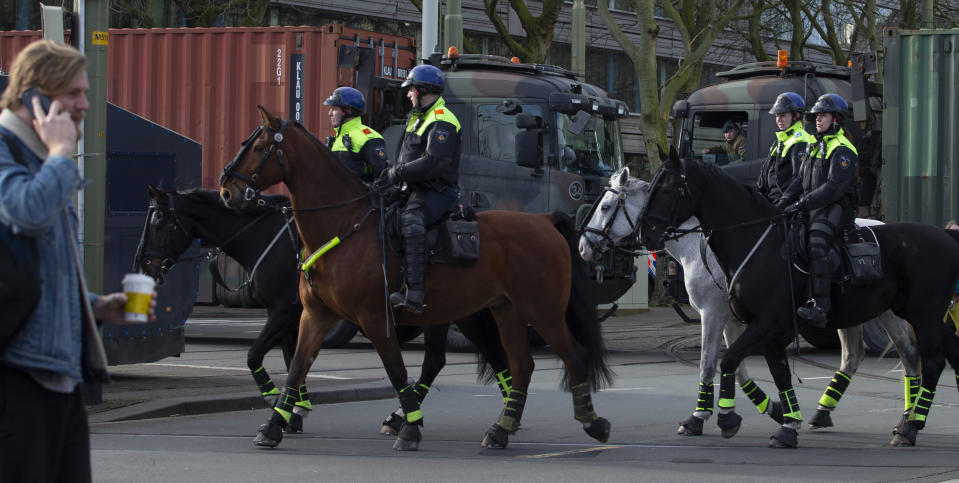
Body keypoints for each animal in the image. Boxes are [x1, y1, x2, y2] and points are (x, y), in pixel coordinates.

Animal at [135, 186, 516, 438]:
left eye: (158, 221)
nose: (143, 265)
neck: (267, 238)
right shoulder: (296, 317)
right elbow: (294, 360)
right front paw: (292, 411)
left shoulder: (283, 312)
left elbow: (255, 354)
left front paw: (276, 402)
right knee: (452, 359)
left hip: (458, 315)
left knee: (465, 357)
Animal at [218, 108, 612, 452]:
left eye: (257, 147)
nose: (226, 190)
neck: (344, 225)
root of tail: (544, 221)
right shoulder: (315, 315)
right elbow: (298, 367)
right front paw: (273, 425)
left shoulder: (374, 319)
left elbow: (396, 370)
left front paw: (409, 427)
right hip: (505, 312)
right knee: (521, 365)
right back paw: (502, 429)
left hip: (541, 312)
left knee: (573, 354)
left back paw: (592, 422)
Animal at [576, 168, 924, 436]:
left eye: (606, 206)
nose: (583, 246)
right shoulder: (735, 319)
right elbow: (737, 367)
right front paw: (773, 409)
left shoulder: (715, 314)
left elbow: (709, 363)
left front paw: (700, 418)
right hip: (851, 314)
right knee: (853, 356)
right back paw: (824, 414)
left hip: (886, 314)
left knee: (907, 353)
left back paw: (908, 418)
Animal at [636, 148, 959, 450]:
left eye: (666, 189)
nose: (644, 234)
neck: (758, 244)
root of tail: (946, 235)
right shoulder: (764, 330)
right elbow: (777, 374)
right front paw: (787, 423)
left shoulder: (760, 323)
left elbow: (725, 360)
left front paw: (727, 418)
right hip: (925, 316)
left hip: (922, 315)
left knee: (930, 362)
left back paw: (909, 427)